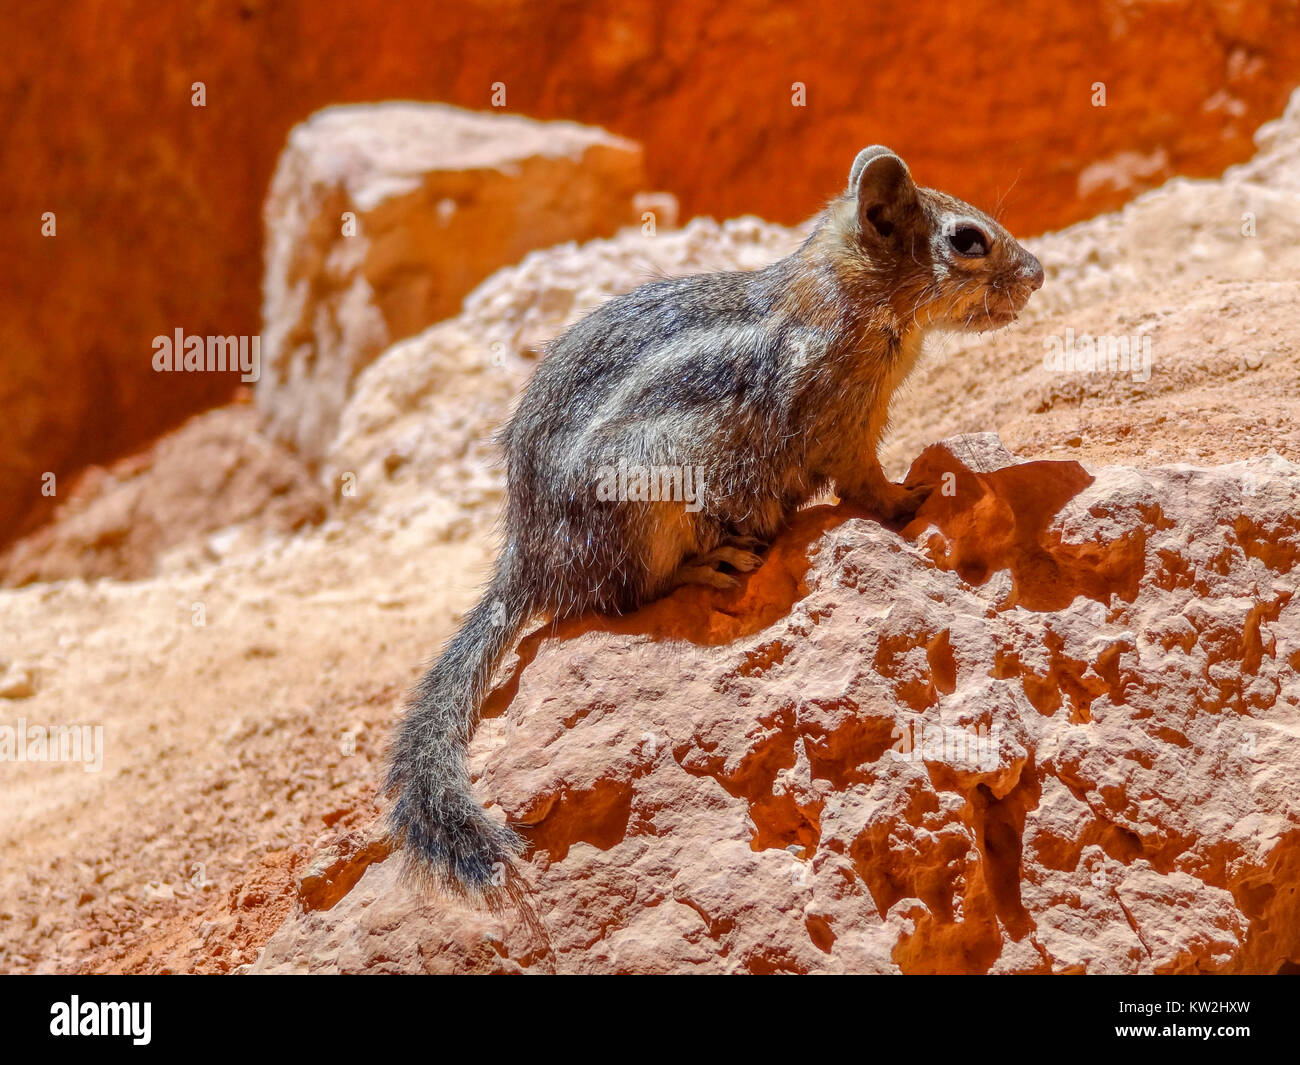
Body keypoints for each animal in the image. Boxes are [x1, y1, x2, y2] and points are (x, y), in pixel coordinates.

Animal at [384, 141, 1045, 889]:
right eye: (969, 240)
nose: (1038, 274)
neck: (840, 296)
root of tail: (524, 559)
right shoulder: (841, 427)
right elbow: (863, 484)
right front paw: (911, 497)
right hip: (646, 500)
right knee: (620, 596)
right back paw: (707, 565)